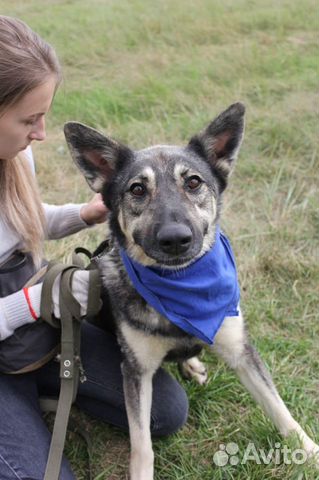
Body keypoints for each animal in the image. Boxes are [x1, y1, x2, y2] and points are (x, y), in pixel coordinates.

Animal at [63, 103, 318, 478]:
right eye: (137, 190)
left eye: (193, 182)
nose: (175, 239)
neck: (183, 287)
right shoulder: (136, 372)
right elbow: (142, 445)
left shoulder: (241, 350)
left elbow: (278, 408)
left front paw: (309, 451)